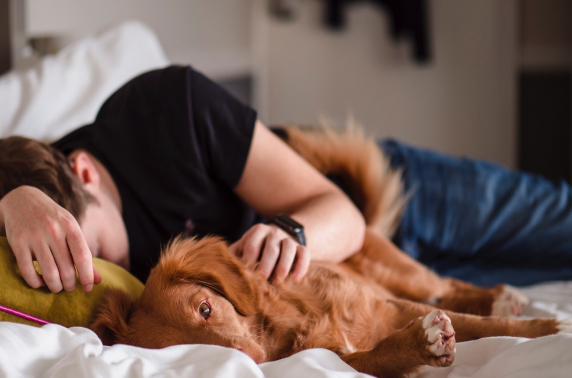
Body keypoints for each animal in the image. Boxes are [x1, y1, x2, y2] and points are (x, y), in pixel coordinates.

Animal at [90, 127, 572, 378]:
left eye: (205, 309)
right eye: (181, 352)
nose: (254, 362)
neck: (290, 322)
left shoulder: (389, 304)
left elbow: (486, 325)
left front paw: (550, 327)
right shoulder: (340, 358)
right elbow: (382, 354)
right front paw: (422, 343)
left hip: (405, 274)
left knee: (448, 284)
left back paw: (501, 296)